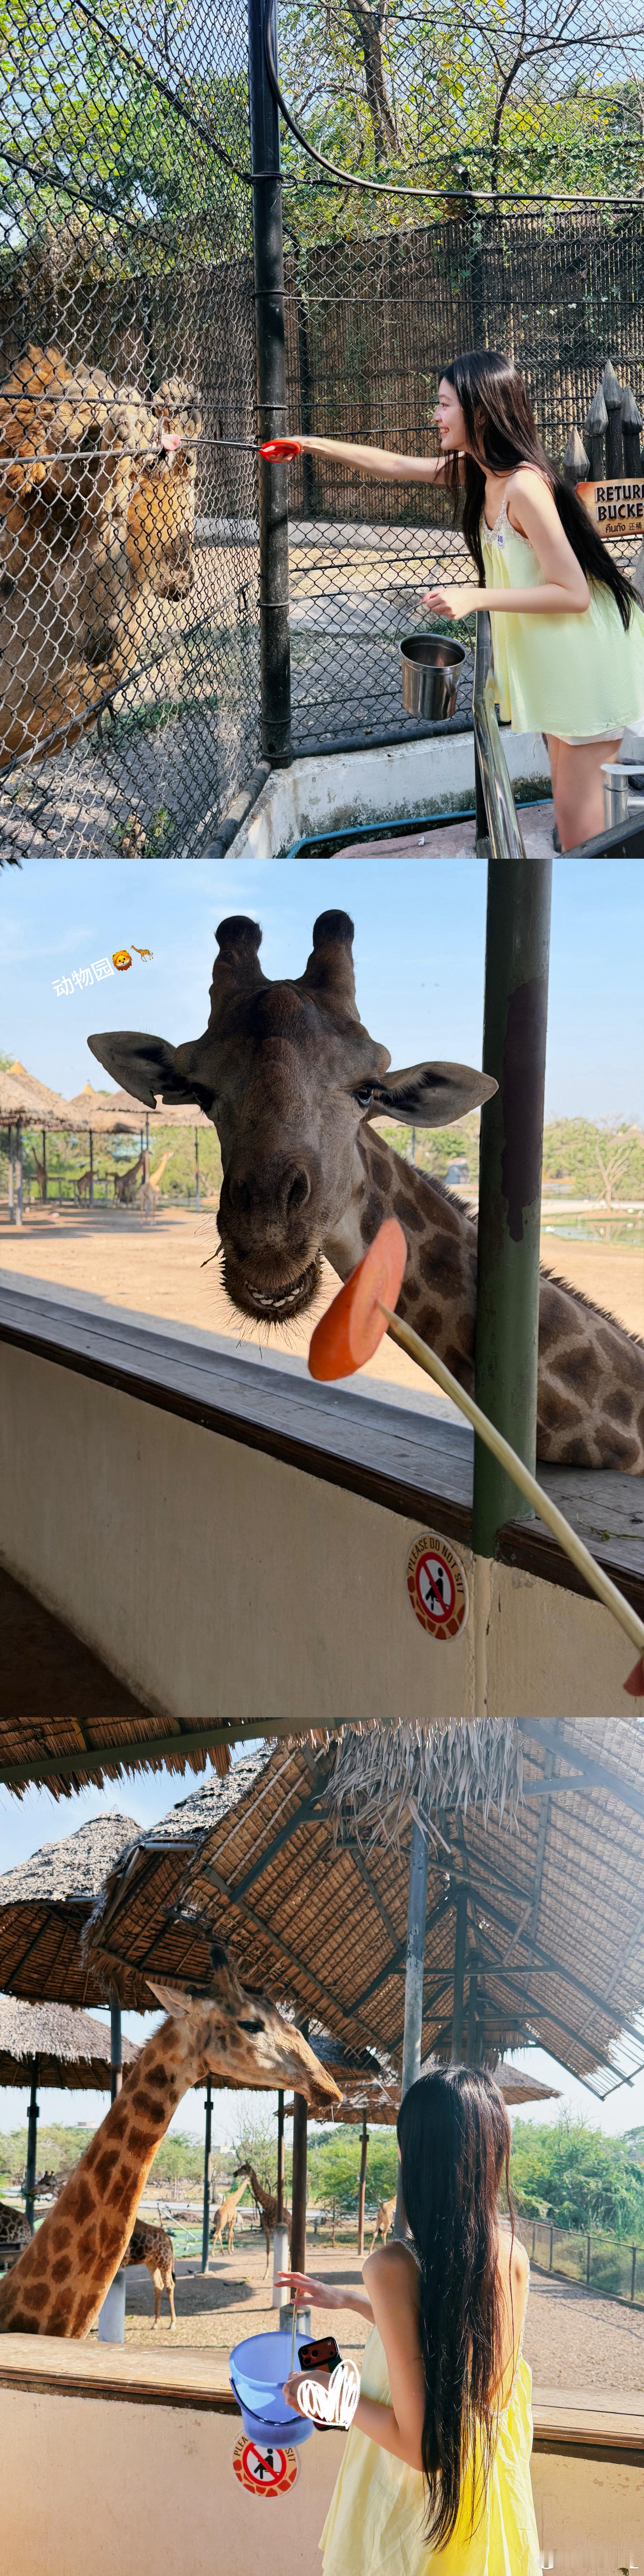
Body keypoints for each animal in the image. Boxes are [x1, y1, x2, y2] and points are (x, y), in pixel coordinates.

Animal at [208, 2175, 251, 2259]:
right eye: (249, 2179)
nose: (249, 2184)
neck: (234, 2202)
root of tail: (216, 2216)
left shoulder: (229, 2221)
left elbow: (232, 2234)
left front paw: (232, 2249)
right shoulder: (233, 2219)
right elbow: (231, 2234)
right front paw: (230, 2251)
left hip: (219, 2224)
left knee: (219, 2236)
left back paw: (223, 2252)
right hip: (222, 2224)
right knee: (216, 2235)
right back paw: (213, 2254)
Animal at [233, 2162, 292, 2276]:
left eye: (245, 2169)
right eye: (241, 2167)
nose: (235, 2173)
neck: (267, 2205)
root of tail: (291, 2219)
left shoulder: (274, 2228)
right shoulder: (266, 2229)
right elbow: (268, 2251)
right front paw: (266, 2275)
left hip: (290, 2232)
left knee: (291, 2248)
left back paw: (289, 2269)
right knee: (289, 2248)